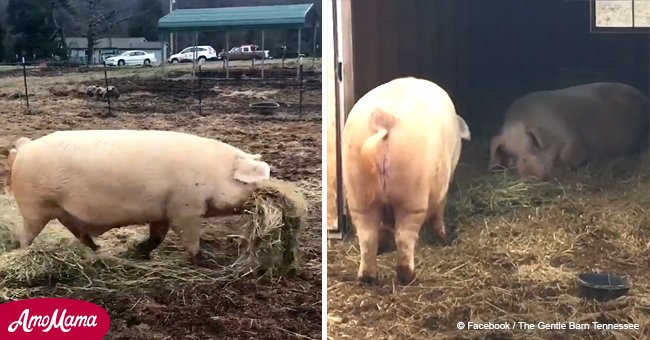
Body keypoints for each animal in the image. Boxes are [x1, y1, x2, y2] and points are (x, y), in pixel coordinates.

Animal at [8, 129, 270, 264]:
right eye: (254, 183)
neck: (212, 174)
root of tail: (24, 147)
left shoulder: (162, 211)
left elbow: (157, 237)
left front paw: (140, 253)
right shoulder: (185, 209)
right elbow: (190, 239)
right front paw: (202, 262)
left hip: (62, 211)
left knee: (78, 231)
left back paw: (97, 249)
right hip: (34, 207)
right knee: (25, 236)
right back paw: (23, 255)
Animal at [340, 77, 470, 284]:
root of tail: (384, 118)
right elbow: (440, 208)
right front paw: (444, 237)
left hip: (358, 189)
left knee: (367, 235)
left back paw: (368, 277)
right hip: (411, 192)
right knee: (404, 235)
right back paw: (408, 277)